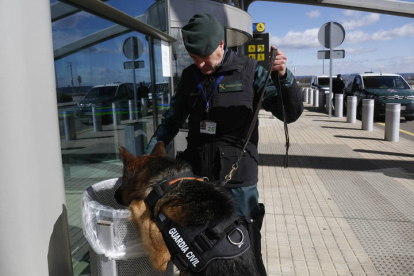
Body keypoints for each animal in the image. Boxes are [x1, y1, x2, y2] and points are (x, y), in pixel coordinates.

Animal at [116, 142, 258, 276]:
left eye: (123, 179)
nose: (114, 195)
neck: (167, 183)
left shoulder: (161, 254)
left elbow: (141, 207)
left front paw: (137, 203)